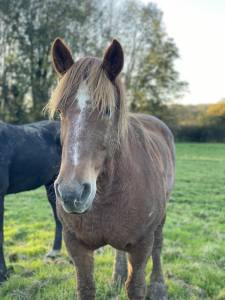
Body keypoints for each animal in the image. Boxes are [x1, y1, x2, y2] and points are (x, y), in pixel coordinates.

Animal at [46, 38, 175, 300]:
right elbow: (86, 287)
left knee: (158, 245)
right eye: (60, 111)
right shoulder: (76, 246)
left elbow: (135, 286)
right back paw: (117, 275)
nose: (72, 193)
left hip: (161, 216)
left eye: (107, 110)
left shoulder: (141, 245)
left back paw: (158, 285)